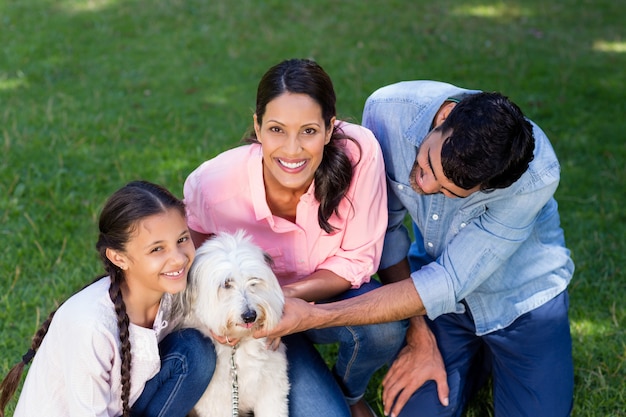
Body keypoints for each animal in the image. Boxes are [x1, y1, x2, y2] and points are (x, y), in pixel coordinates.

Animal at [178, 229, 288, 414]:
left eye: (254, 280)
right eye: (226, 284)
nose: (250, 316)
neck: (238, 348)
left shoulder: (272, 388)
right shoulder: (216, 402)